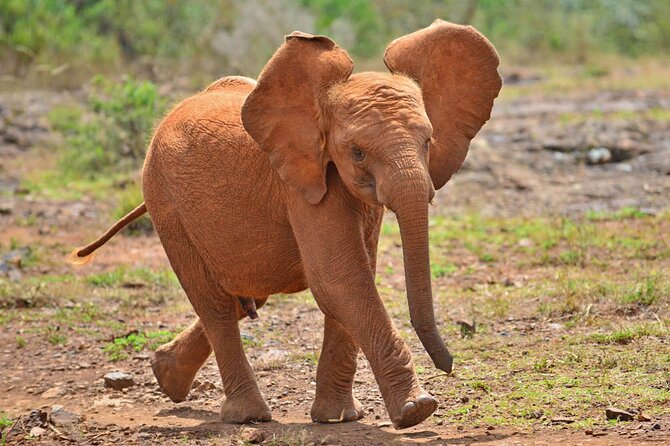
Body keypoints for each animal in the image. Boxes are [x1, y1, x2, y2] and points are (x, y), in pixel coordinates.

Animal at [73, 20, 501, 429]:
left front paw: (338, 418)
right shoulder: (301, 183)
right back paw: (246, 415)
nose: (448, 365)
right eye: (357, 153)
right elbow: (340, 278)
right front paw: (417, 410)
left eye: (427, 142)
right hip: (165, 202)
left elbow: (355, 275)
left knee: (243, 295)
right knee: (214, 304)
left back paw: (166, 376)